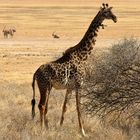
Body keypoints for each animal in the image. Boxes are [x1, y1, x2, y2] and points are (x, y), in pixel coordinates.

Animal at [30, 3, 117, 136]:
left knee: (44, 106)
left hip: (48, 87)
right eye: (106, 12)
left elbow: (64, 107)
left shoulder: (70, 87)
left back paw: (47, 127)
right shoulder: (78, 84)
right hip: (44, 86)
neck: (83, 55)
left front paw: (60, 127)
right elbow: (78, 107)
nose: (115, 18)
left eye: (111, 11)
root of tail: (35, 73)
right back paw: (42, 130)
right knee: (42, 105)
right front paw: (83, 132)